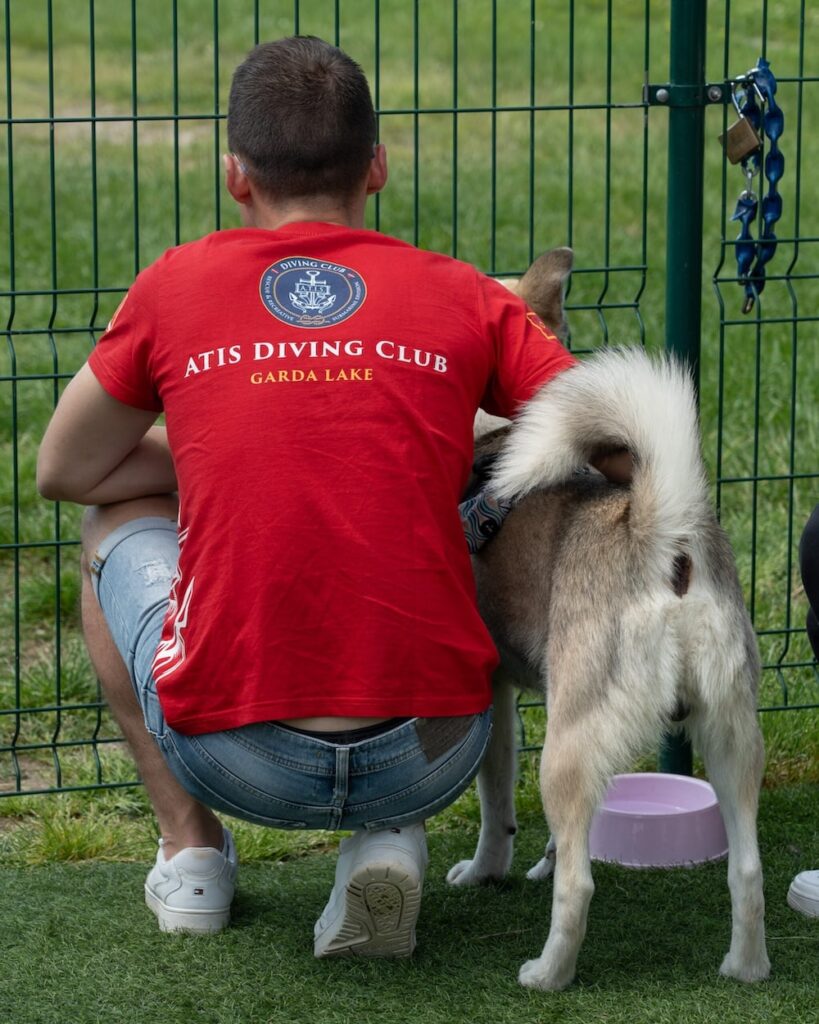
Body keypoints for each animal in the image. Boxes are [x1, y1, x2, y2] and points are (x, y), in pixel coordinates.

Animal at [444, 249, 769, 991]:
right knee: (747, 869)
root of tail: (660, 535)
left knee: (580, 886)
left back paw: (546, 974)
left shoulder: (494, 699)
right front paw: (530, 860)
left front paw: (484, 873)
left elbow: (494, 801)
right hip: (731, 732)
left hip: (567, 747)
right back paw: (745, 968)